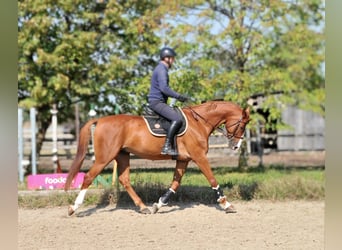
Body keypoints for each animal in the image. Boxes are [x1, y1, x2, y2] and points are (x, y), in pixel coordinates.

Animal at [64, 100, 250, 216]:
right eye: (242, 125)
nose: (235, 146)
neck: (199, 123)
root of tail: (100, 120)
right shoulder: (199, 157)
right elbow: (212, 180)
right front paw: (226, 204)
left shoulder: (183, 160)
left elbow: (175, 184)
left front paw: (158, 205)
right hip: (105, 157)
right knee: (89, 177)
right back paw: (73, 208)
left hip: (122, 155)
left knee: (124, 180)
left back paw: (143, 207)